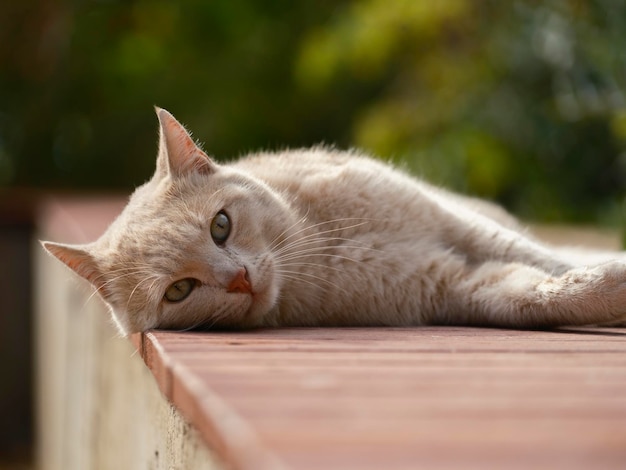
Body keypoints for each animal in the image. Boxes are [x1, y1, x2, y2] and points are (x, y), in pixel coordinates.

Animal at [41, 107, 624, 334]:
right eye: (179, 291)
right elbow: (537, 293)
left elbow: (544, 260)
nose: (239, 280)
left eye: (220, 226)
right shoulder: (455, 286)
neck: (323, 248)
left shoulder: (456, 224)